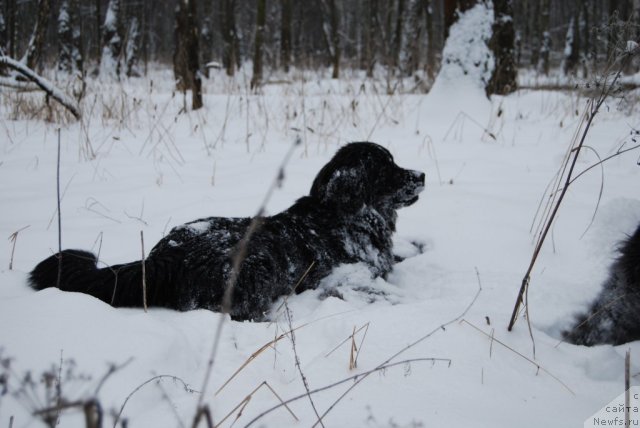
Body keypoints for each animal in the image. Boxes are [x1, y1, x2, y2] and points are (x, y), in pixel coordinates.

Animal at [28, 143, 424, 320]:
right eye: (387, 167)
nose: (421, 175)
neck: (348, 215)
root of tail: (162, 257)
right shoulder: (344, 277)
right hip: (256, 266)